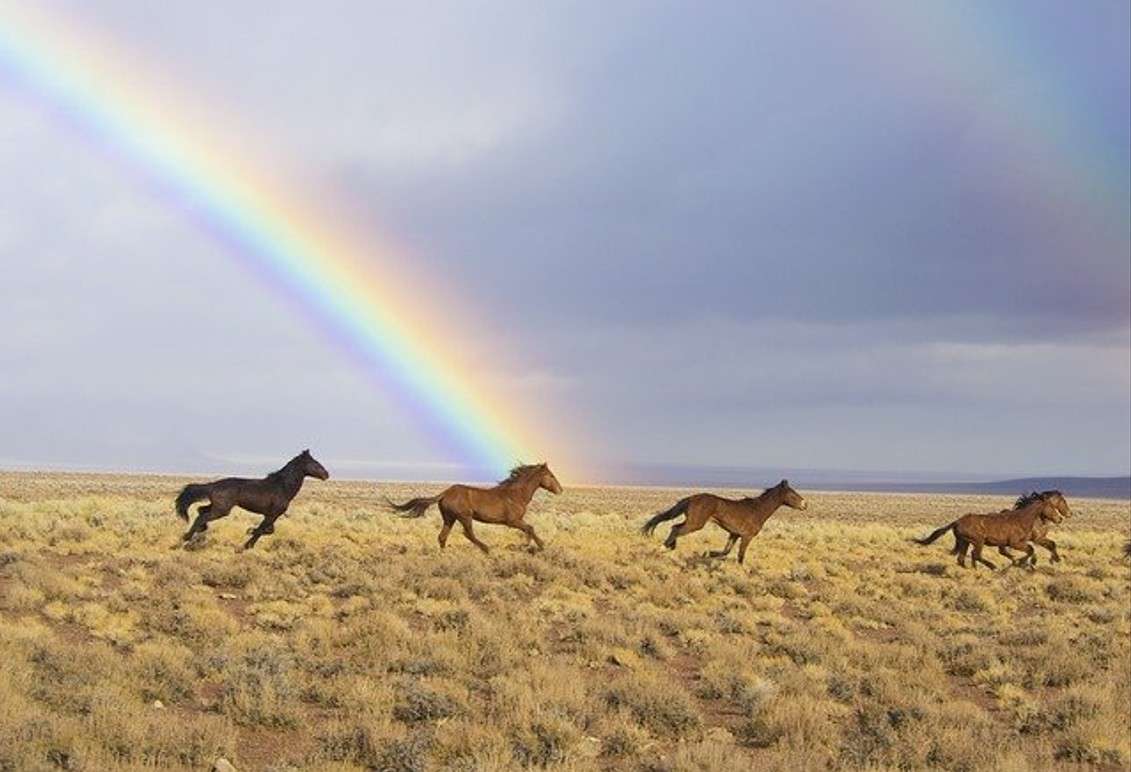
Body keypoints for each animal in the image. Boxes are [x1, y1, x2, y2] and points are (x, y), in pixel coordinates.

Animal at [174, 447, 330, 549]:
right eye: (315, 463)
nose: (326, 474)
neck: (282, 487)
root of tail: (213, 485)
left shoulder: (271, 515)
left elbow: (269, 530)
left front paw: (249, 536)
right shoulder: (272, 515)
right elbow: (262, 530)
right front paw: (248, 541)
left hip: (217, 507)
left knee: (201, 511)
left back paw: (198, 531)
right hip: (222, 510)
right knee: (202, 516)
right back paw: (187, 537)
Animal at [389, 465, 565, 556]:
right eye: (550, 475)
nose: (560, 490)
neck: (516, 494)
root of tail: (445, 493)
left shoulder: (516, 521)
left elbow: (529, 529)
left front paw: (528, 545)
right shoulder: (512, 521)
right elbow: (530, 528)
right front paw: (536, 546)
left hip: (449, 518)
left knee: (442, 536)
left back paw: (444, 555)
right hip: (465, 517)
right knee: (468, 534)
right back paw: (487, 548)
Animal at [642, 479, 809, 565]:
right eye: (792, 494)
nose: (805, 504)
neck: (758, 510)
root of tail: (691, 498)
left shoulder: (734, 534)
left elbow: (725, 552)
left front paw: (707, 553)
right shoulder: (746, 537)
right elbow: (740, 556)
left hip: (693, 522)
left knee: (674, 526)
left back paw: (670, 546)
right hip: (696, 524)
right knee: (676, 529)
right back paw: (663, 548)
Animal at [913, 492, 1063, 569]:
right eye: (1051, 507)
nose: (1060, 519)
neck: (1022, 519)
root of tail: (957, 521)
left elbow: (1030, 550)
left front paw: (1023, 563)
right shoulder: (1015, 543)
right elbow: (1030, 550)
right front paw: (1021, 563)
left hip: (965, 542)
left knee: (962, 558)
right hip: (978, 541)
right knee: (975, 555)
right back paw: (992, 566)